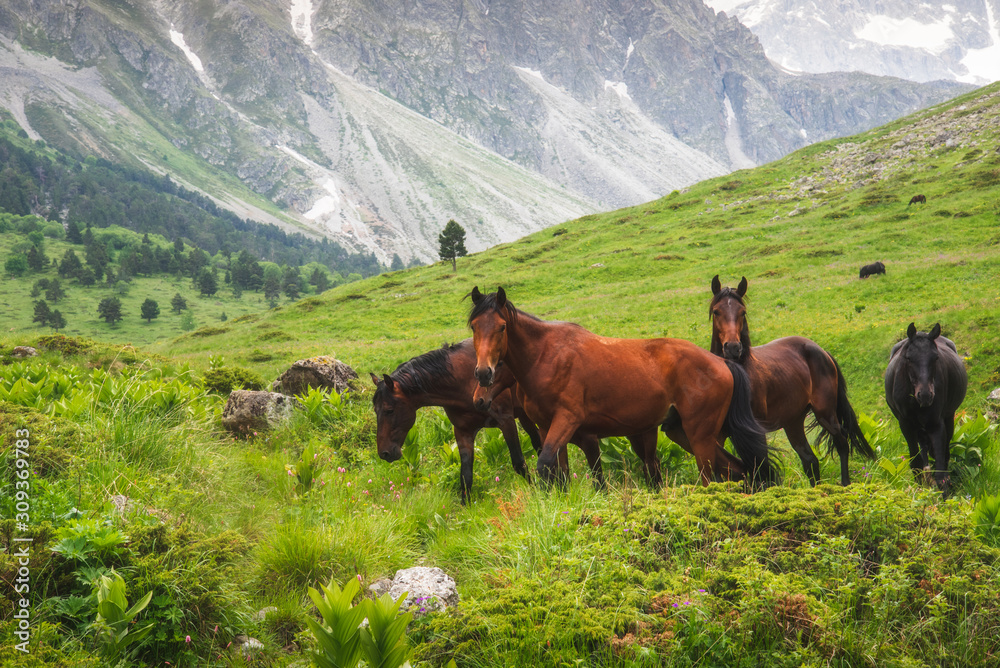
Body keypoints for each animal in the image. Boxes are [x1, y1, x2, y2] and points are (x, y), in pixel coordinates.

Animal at [372, 342, 544, 504]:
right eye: (375, 410)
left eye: (389, 410)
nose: (384, 453)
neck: (464, 381)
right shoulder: (463, 431)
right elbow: (465, 475)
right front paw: (465, 507)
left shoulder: (506, 422)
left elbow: (519, 463)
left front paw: (534, 492)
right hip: (523, 415)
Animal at [468, 284, 780, 488]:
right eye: (474, 327)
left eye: (501, 327)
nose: (483, 374)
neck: (547, 356)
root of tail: (722, 362)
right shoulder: (547, 427)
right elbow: (560, 472)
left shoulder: (567, 420)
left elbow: (545, 466)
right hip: (681, 432)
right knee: (739, 469)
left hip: (700, 437)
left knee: (712, 477)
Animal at [708, 276, 872, 486]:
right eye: (716, 311)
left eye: (742, 312)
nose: (733, 348)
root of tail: (820, 350)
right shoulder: (717, 436)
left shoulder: (755, 433)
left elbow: (760, 471)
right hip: (793, 422)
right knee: (810, 460)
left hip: (825, 413)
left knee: (841, 442)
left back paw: (845, 484)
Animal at [888, 324, 964, 496]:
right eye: (909, 358)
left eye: (935, 358)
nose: (925, 395)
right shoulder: (906, 424)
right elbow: (916, 463)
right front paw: (919, 491)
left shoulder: (936, 425)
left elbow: (941, 470)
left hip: (948, 418)